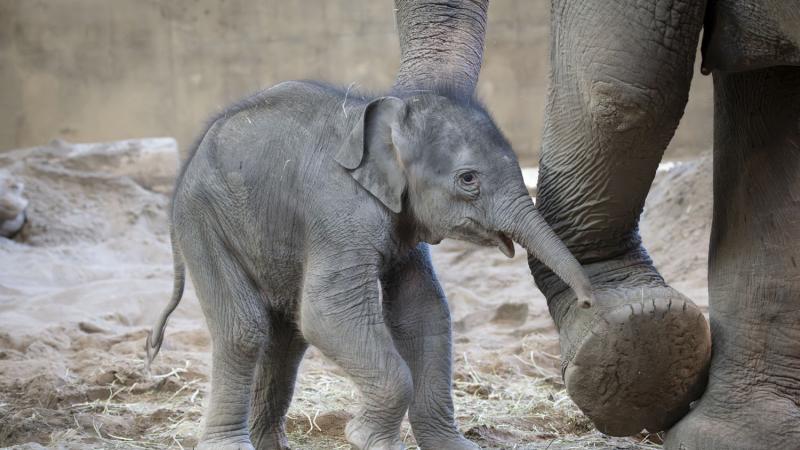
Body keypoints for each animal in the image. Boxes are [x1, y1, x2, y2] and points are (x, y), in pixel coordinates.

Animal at [145, 81, 592, 450]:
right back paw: (231, 444)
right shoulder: (339, 212)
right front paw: (371, 441)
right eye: (468, 180)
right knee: (245, 330)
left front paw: (454, 447)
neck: (386, 119)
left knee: (285, 336)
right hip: (204, 220)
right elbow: (327, 313)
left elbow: (423, 313)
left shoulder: (403, 224)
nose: (589, 301)